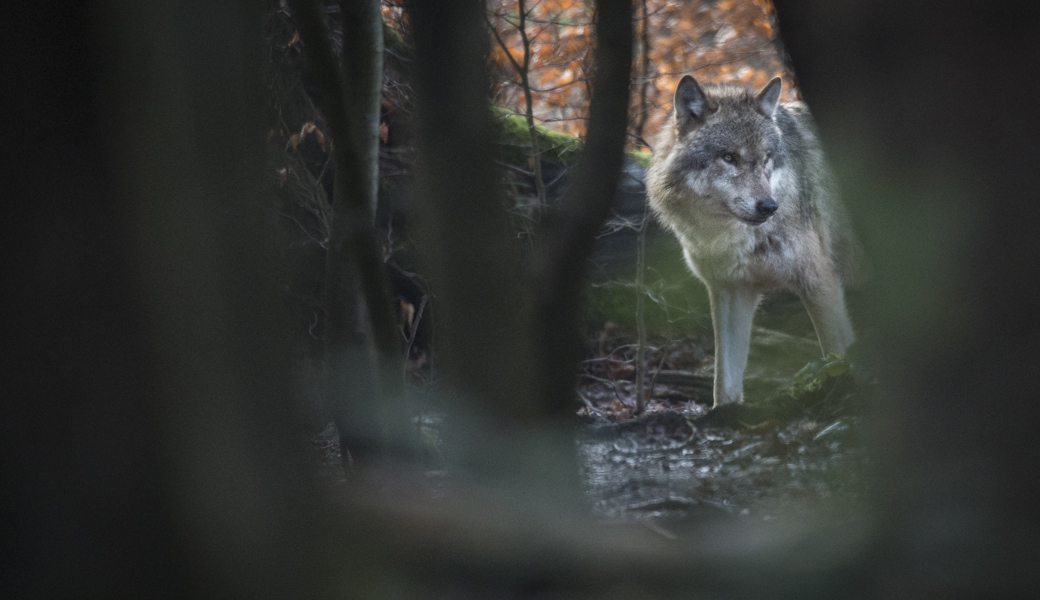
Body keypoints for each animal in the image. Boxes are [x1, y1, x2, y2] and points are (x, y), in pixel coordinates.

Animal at [648, 74, 861, 407]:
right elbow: (724, 383)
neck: (729, 236)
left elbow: (838, 355)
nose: (769, 207)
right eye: (729, 157)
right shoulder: (730, 291)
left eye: (766, 159)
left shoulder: (820, 283)